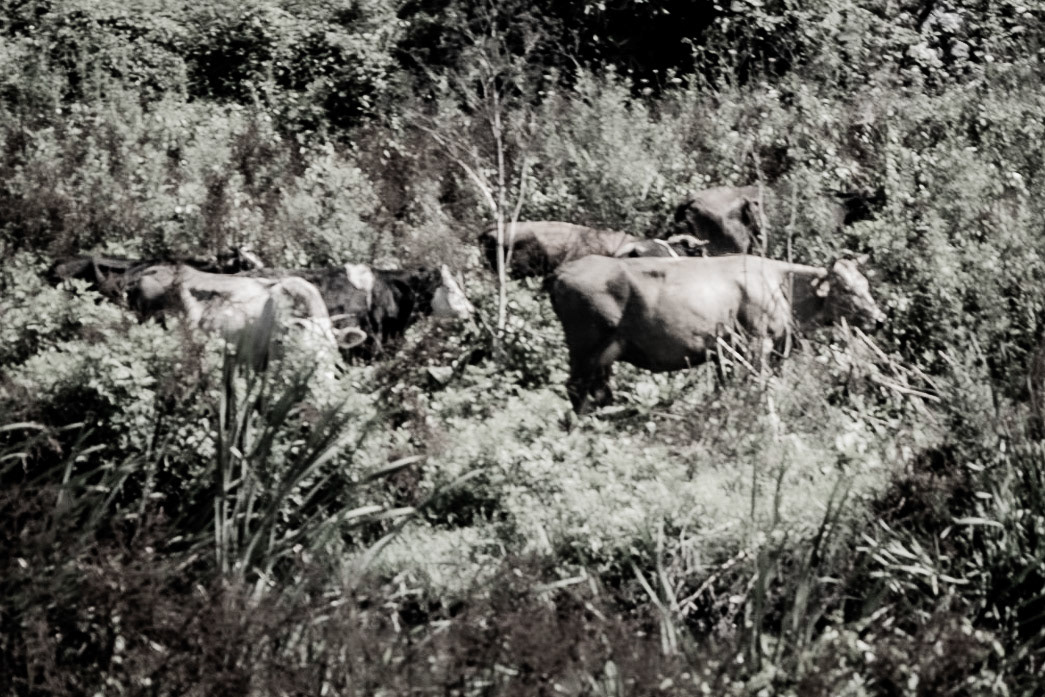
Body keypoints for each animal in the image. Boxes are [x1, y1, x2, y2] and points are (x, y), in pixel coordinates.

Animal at [548, 254, 886, 413]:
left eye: (866, 284)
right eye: (846, 289)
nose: (880, 319)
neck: (781, 286)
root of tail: (562, 271)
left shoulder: (726, 353)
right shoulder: (758, 343)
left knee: (597, 392)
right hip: (585, 347)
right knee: (576, 391)